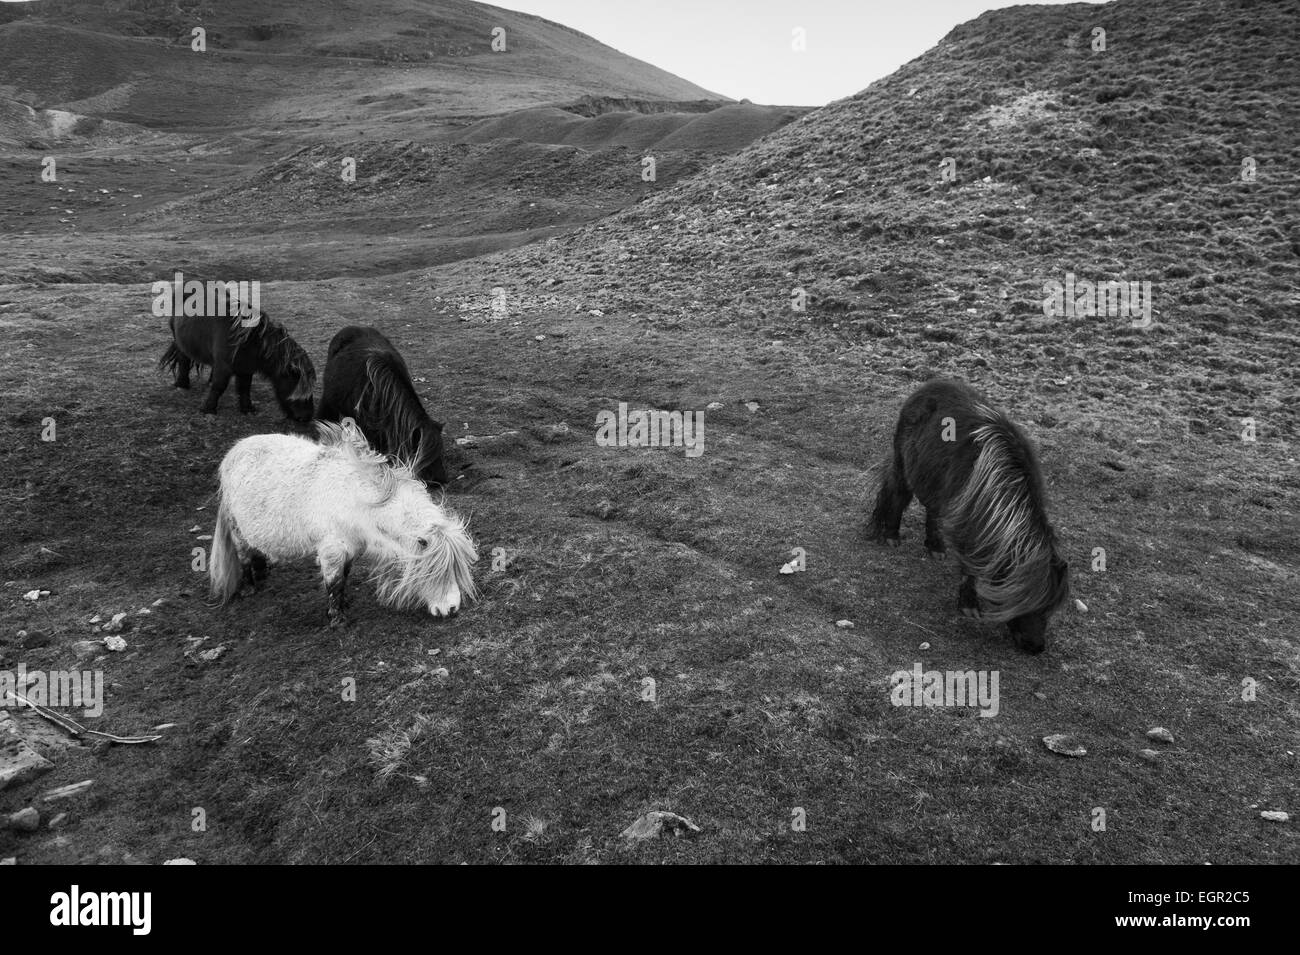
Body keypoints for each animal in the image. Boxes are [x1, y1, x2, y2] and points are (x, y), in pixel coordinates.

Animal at [158, 289, 315, 423]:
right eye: (294, 383)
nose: (306, 417)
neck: (249, 340)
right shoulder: (224, 366)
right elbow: (219, 386)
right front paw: (209, 409)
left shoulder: (246, 368)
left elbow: (245, 388)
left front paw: (247, 409)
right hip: (180, 343)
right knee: (183, 361)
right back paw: (182, 385)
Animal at [208, 418, 478, 628]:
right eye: (436, 571)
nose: (451, 609)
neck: (359, 500)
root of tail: (234, 452)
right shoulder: (332, 549)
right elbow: (334, 582)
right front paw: (338, 619)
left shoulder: (352, 547)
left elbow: (345, 576)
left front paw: (344, 604)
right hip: (237, 530)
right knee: (243, 555)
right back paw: (248, 587)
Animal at [873, 376, 1066, 654]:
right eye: (1023, 601)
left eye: (1049, 608)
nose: (1035, 647)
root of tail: (930, 385)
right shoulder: (969, 528)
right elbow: (970, 569)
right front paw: (969, 606)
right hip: (903, 463)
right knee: (899, 492)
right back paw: (891, 536)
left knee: (932, 512)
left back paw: (935, 548)